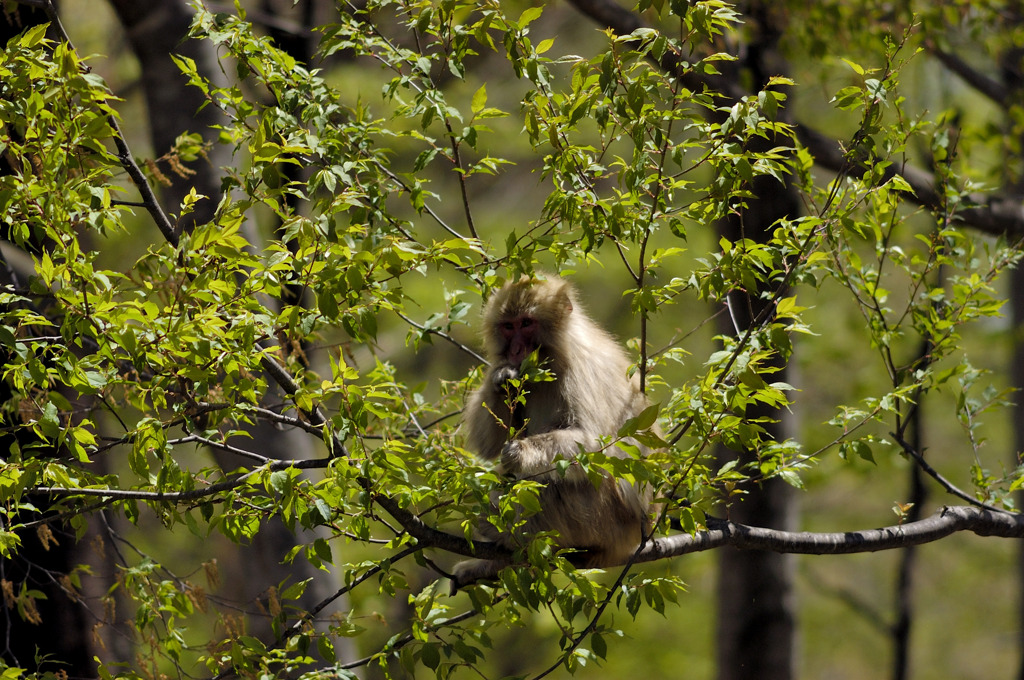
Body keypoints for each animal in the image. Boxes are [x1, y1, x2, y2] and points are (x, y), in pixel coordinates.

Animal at [456, 276, 655, 589]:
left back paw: (501, 531)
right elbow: (488, 444)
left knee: (554, 483)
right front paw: (501, 379)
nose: (515, 350)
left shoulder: (580, 370)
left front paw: (519, 453)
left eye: (527, 323)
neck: (554, 356)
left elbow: (593, 446)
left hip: (604, 520)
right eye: (508, 326)